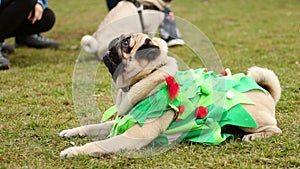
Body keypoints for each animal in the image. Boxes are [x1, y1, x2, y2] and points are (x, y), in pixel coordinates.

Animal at [59, 33, 282, 158]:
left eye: (126, 43)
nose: (115, 38)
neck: (148, 77)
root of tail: (264, 90)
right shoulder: (124, 119)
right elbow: (93, 127)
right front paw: (72, 132)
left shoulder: (134, 136)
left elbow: (99, 144)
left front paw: (75, 151)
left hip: (249, 115)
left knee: (274, 130)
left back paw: (253, 136)